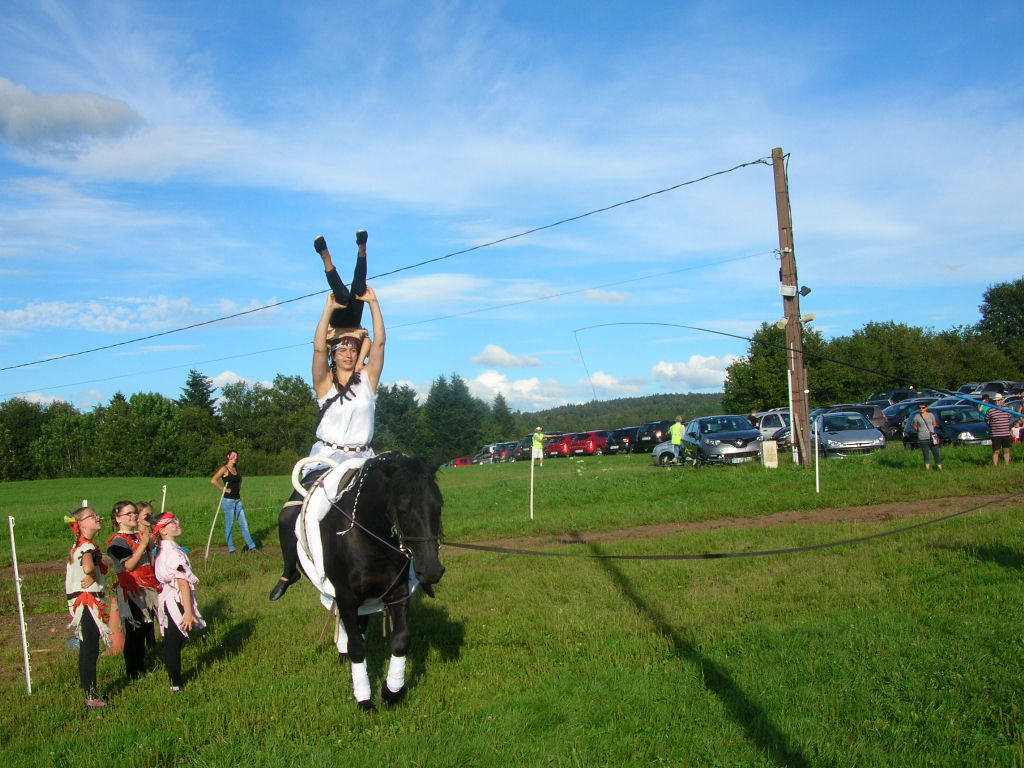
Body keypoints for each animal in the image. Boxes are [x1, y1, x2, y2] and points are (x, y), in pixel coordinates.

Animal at [292, 454, 444, 712]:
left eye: (439, 505)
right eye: (402, 508)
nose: (432, 570)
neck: (369, 540)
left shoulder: (398, 591)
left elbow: (401, 640)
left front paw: (391, 692)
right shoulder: (345, 596)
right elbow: (356, 648)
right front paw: (364, 699)